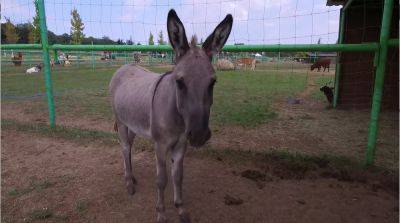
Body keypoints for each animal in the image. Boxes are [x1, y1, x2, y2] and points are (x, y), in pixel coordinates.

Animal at [109, 9, 233, 222]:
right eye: (180, 82)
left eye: (213, 83)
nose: (199, 135)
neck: (178, 117)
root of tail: (126, 66)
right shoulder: (160, 145)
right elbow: (161, 180)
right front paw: (161, 213)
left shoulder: (181, 144)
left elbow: (178, 177)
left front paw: (181, 209)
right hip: (122, 122)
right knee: (124, 148)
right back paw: (129, 183)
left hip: (133, 124)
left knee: (129, 148)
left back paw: (133, 177)